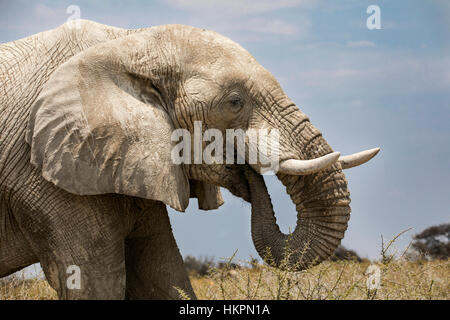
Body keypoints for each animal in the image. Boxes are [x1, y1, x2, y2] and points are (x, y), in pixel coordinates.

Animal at [0, 20, 380, 300]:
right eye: (235, 102)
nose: (247, 171)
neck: (129, 42)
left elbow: (162, 273)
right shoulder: (47, 177)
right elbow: (93, 281)